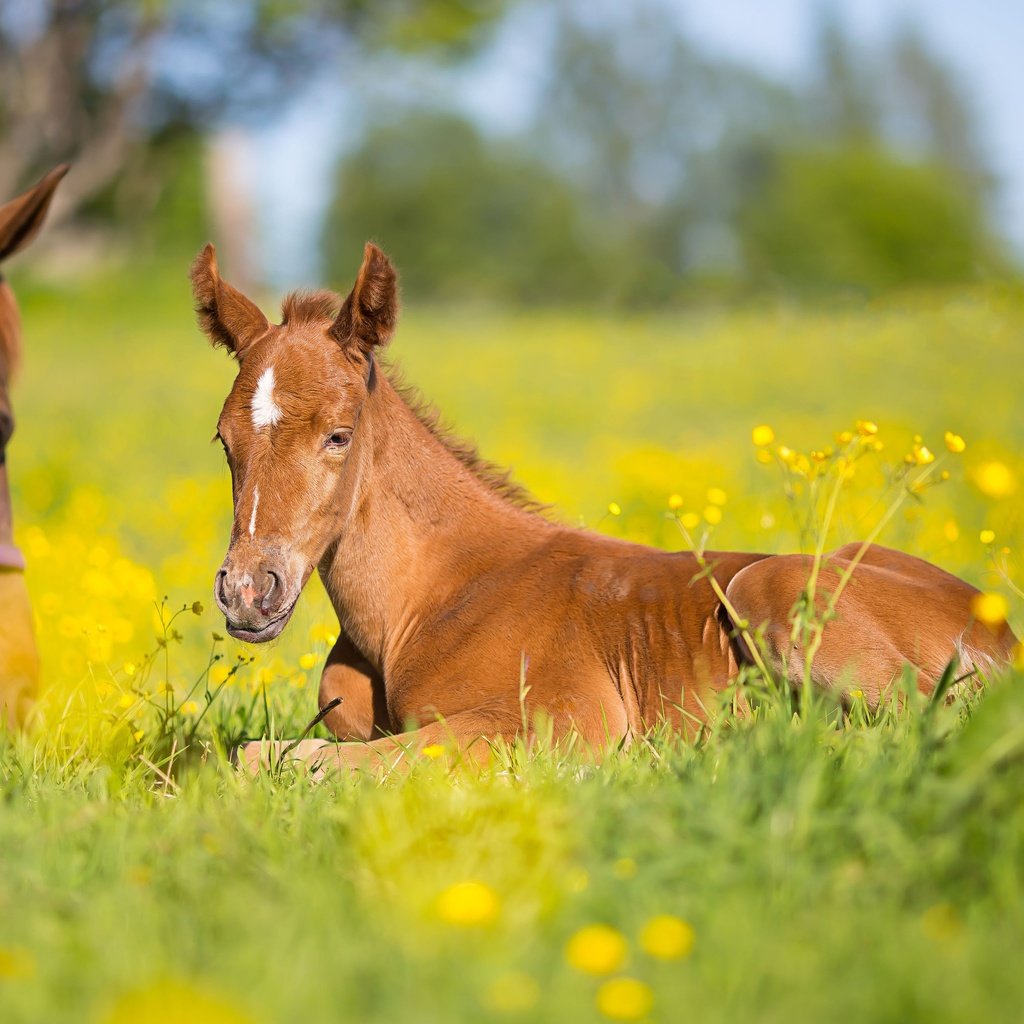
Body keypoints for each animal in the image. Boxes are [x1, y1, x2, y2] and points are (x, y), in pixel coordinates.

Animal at [192, 243, 1015, 770]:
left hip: (770, 587)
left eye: (338, 434)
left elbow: (284, 758)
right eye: (224, 439)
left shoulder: (563, 719)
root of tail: (1001, 630)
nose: (248, 591)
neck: (423, 601)